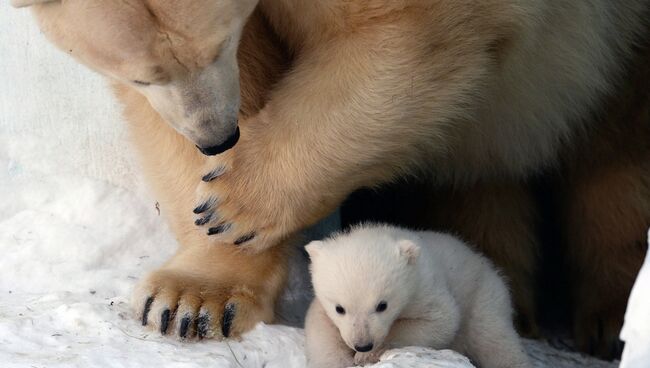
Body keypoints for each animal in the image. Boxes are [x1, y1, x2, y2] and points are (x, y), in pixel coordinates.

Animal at [13, 0, 648, 360]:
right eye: (142, 74)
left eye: (219, 44)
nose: (216, 139)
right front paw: (190, 300)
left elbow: (404, 31)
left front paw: (234, 200)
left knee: (612, 147)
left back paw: (606, 319)